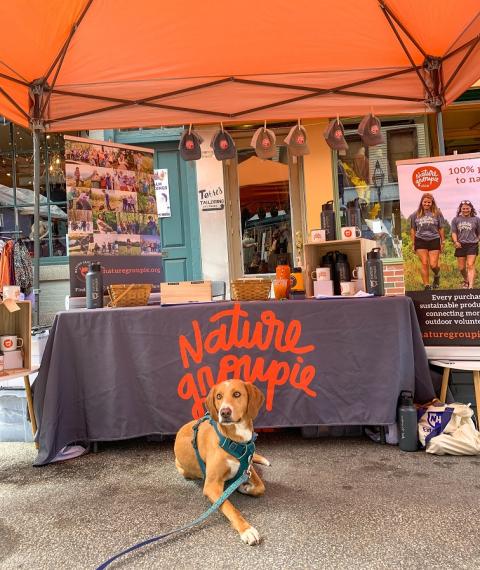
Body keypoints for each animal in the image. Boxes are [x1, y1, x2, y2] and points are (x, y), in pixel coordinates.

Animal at [173, 378, 272, 540]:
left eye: (237, 394)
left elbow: (261, 487)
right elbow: (229, 506)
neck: (236, 441)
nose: (224, 412)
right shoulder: (212, 486)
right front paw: (246, 529)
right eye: (218, 396)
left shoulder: (248, 467)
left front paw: (245, 487)